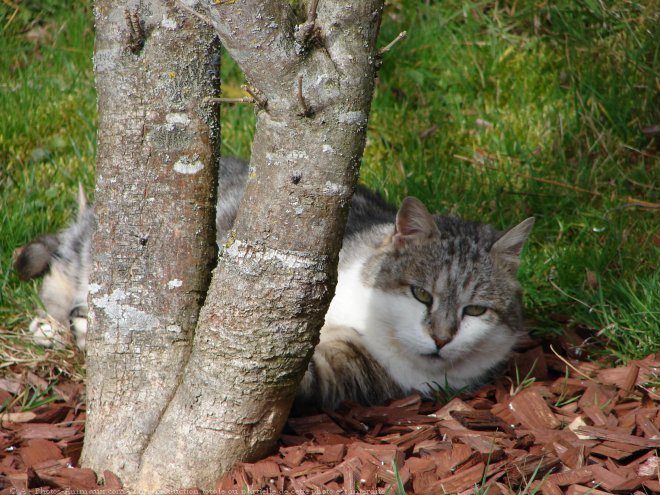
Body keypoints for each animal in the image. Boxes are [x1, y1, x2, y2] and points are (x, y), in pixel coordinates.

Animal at [14, 158, 536, 410]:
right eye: (421, 294)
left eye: (475, 310)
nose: (442, 337)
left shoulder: (348, 371)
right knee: (63, 264)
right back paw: (53, 320)